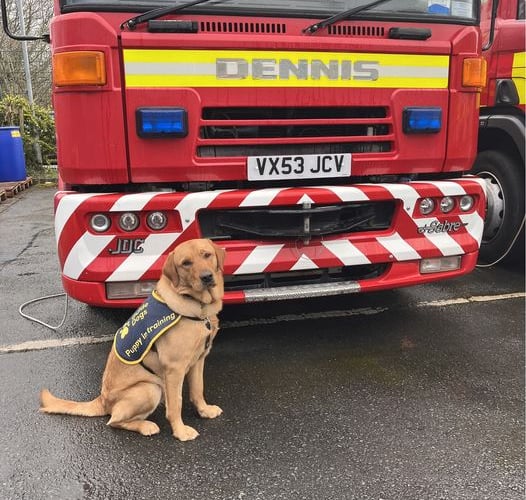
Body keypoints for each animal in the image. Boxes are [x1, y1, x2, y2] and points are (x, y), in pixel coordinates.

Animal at [39, 239, 225, 442]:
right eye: (186, 263)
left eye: (206, 255)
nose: (206, 277)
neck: (198, 307)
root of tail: (101, 400)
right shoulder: (174, 368)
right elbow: (176, 404)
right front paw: (180, 431)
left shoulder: (199, 359)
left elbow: (198, 390)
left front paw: (204, 411)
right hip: (150, 388)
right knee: (114, 421)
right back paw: (146, 426)